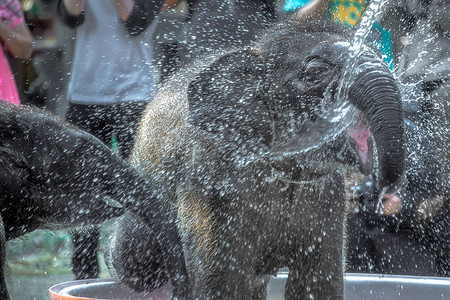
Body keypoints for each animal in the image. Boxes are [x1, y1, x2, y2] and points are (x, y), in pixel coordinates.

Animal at [111, 19, 404, 298]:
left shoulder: (329, 201)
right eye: (316, 72)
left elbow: (318, 282)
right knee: (136, 263)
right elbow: (220, 285)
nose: (382, 190)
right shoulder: (209, 190)